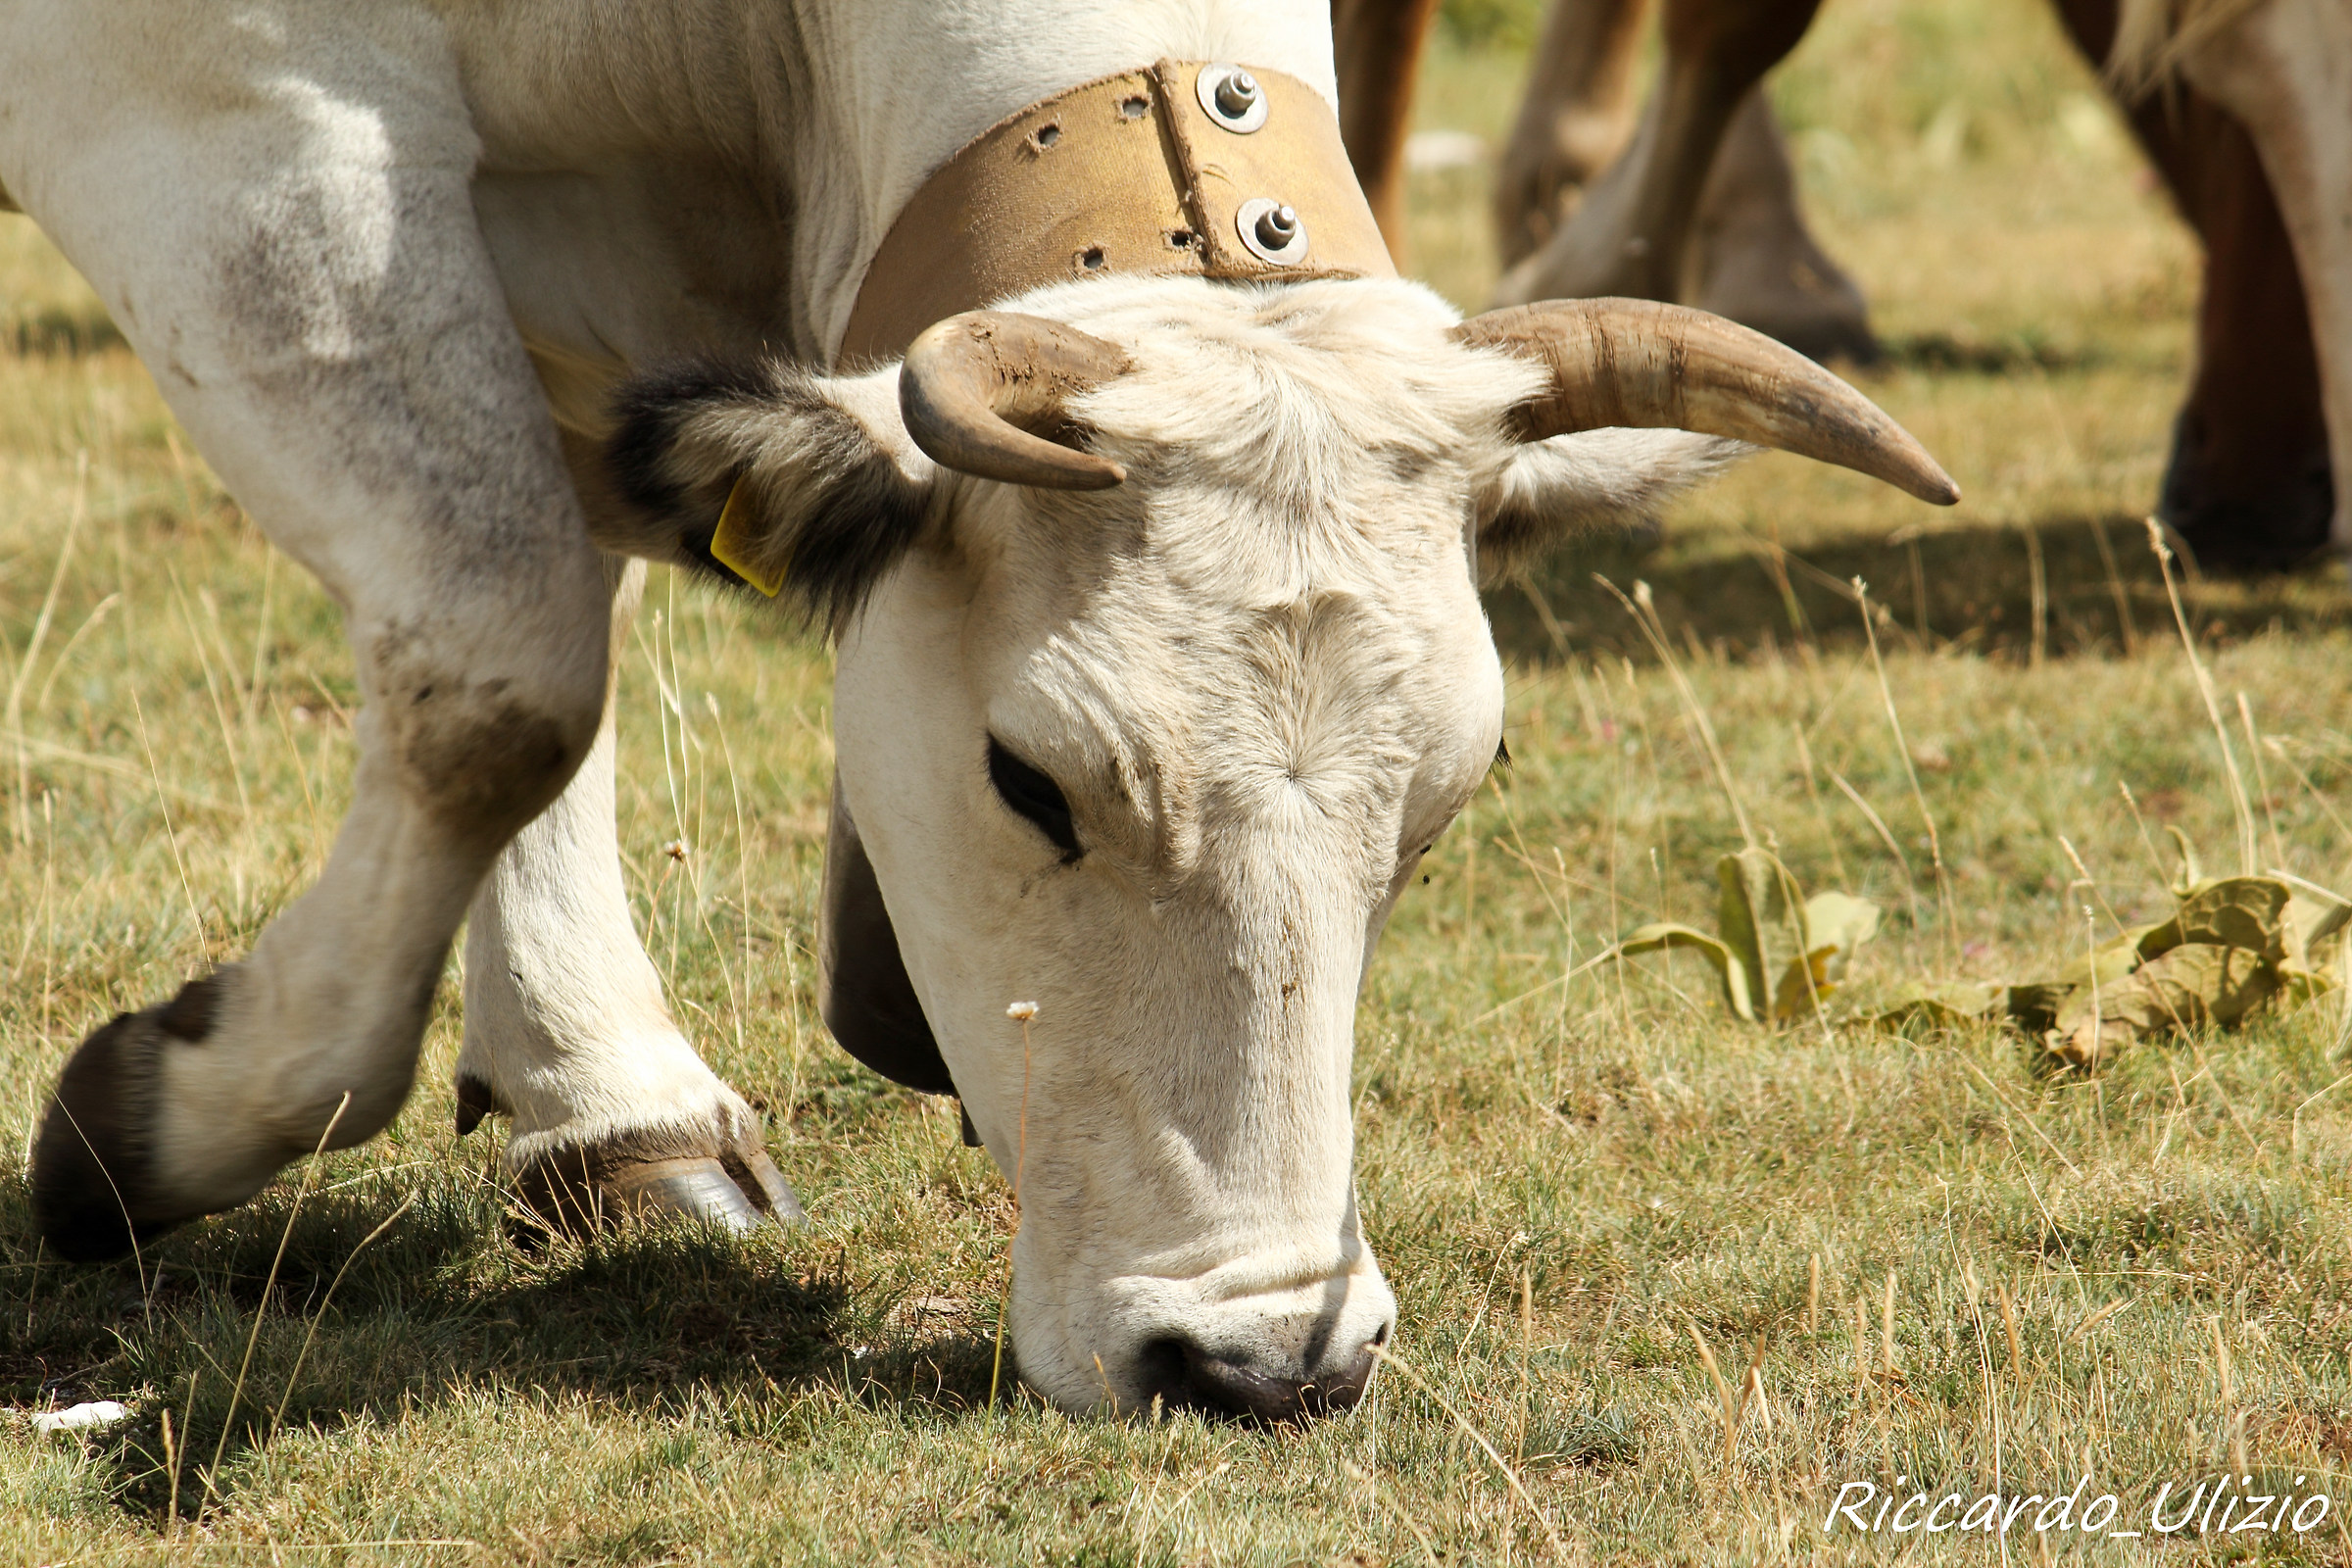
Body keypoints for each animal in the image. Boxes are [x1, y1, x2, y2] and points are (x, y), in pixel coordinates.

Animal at [7, 1, 1953, 1422]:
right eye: (1030, 779)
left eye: (1443, 805)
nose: (1261, 1366)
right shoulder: (244, 121)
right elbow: (507, 664)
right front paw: (158, 1119)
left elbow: (560, 608)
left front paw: (600, 1098)